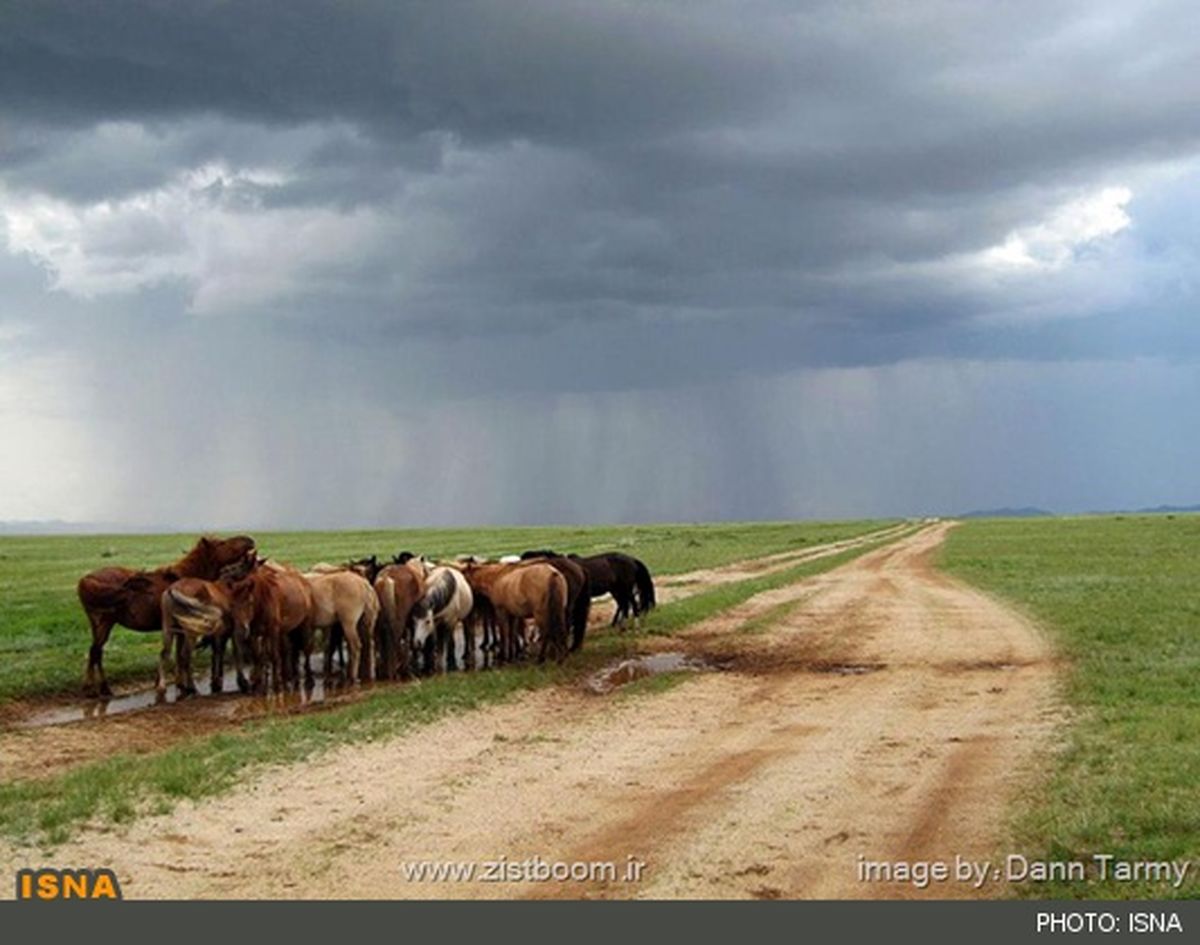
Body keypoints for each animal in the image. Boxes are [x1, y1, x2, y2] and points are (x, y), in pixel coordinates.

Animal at [77, 534, 255, 695]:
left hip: (99, 625)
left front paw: (177, 684)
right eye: (221, 543)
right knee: (95, 651)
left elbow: (177, 655)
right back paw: (94, 688)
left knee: (96, 652)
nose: (250, 540)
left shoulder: (177, 630)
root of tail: (86, 579)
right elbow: (182, 656)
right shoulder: (184, 630)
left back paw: (99, 687)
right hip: (104, 623)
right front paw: (183, 686)